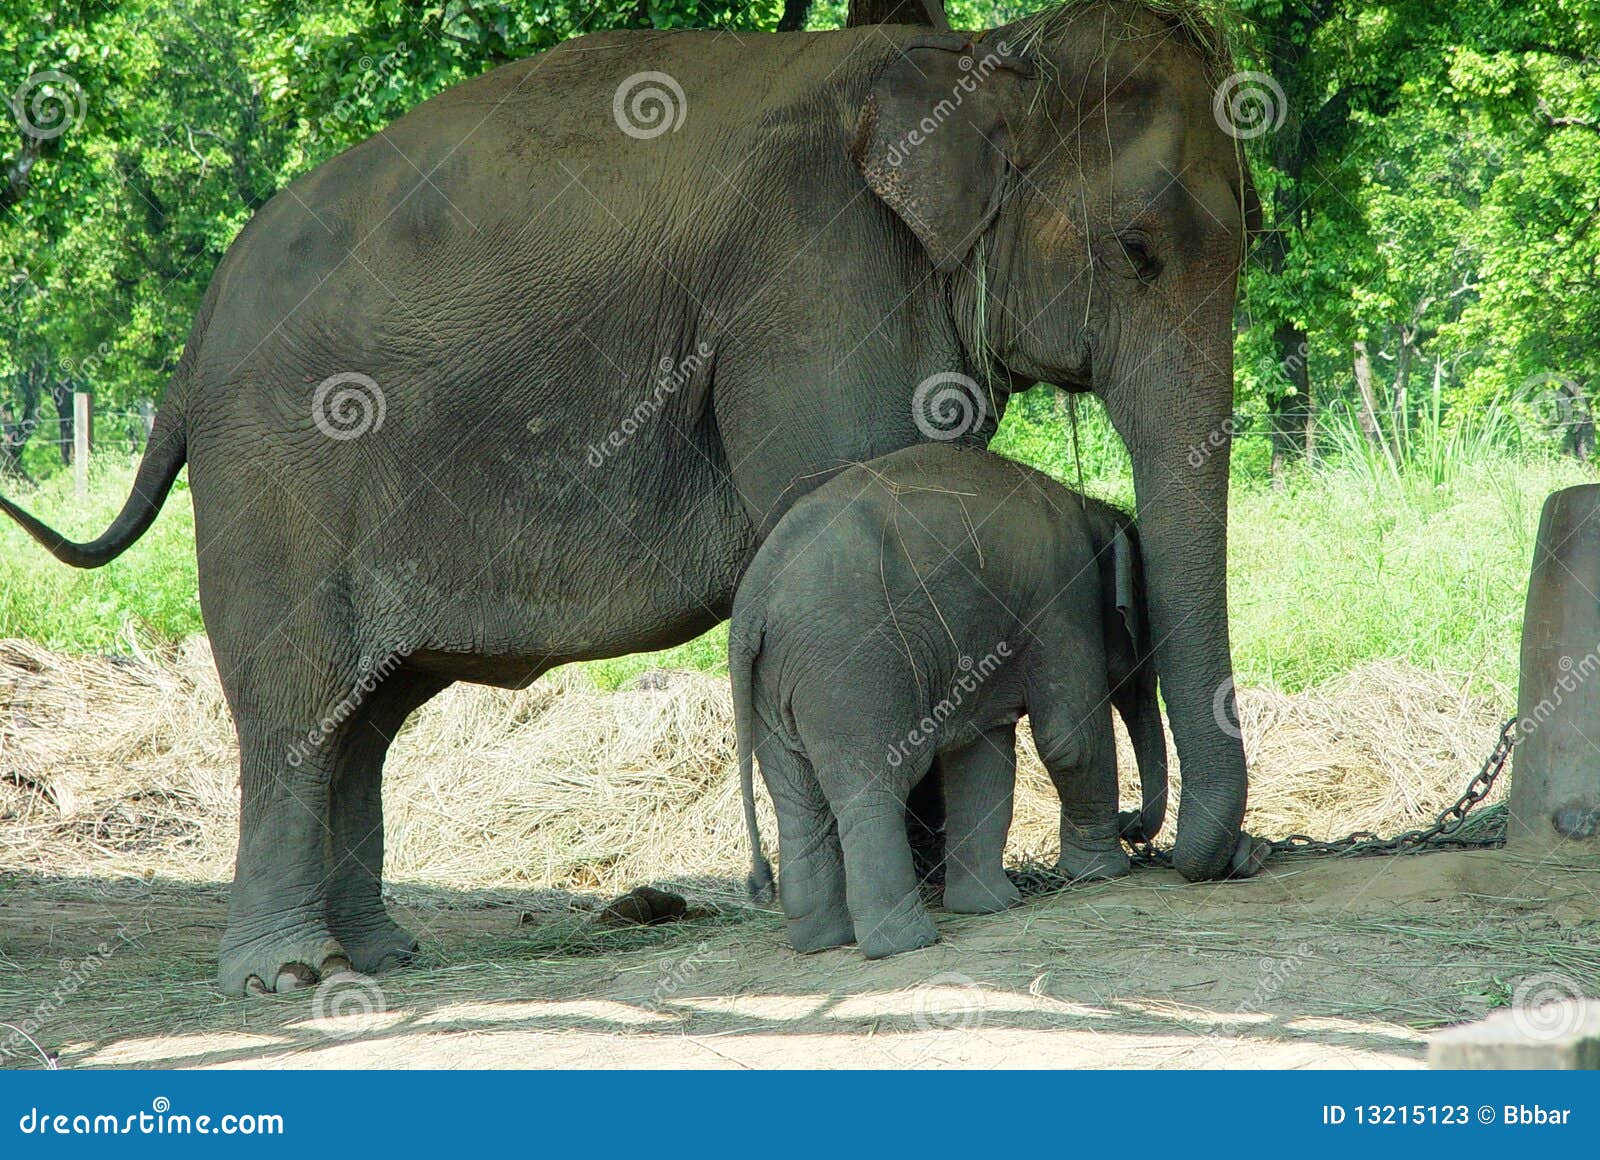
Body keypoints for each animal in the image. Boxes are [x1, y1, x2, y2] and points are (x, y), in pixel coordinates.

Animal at [731, 442, 1167, 957]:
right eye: (1143, 634)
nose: (1132, 824)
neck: (1089, 509)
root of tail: (752, 608)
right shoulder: (1064, 598)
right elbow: (1068, 740)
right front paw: (1103, 874)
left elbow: (983, 757)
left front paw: (991, 906)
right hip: (850, 676)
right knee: (872, 790)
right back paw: (906, 943)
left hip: (771, 689)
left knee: (798, 803)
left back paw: (821, 943)